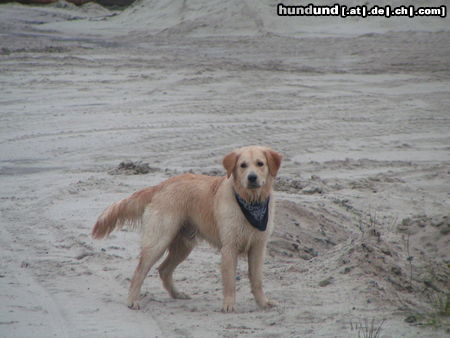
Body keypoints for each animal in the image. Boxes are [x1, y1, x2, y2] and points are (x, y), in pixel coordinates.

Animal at [91, 145, 282, 312]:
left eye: (260, 163)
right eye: (243, 165)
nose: (252, 178)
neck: (251, 201)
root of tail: (162, 185)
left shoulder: (258, 247)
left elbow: (257, 280)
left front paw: (263, 303)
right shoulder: (229, 247)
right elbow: (229, 282)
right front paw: (229, 305)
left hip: (183, 245)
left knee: (163, 270)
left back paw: (176, 294)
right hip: (159, 240)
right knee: (140, 271)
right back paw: (132, 300)